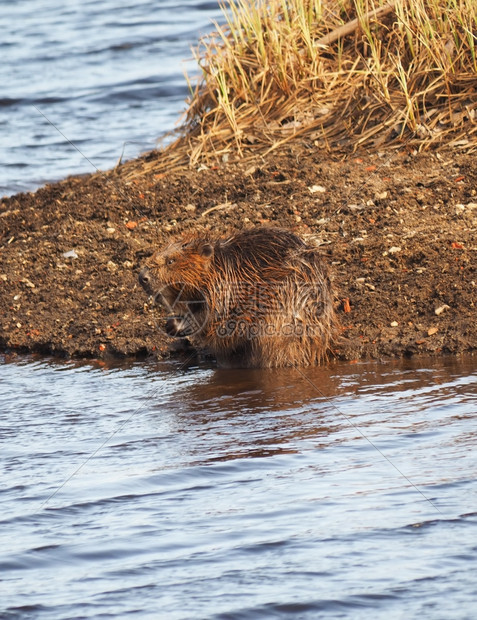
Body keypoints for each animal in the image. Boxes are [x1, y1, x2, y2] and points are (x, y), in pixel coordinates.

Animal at [138, 228, 336, 366]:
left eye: (171, 261)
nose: (142, 276)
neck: (224, 266)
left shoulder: (225, 290)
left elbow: (216, 319)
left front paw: (177, 324)